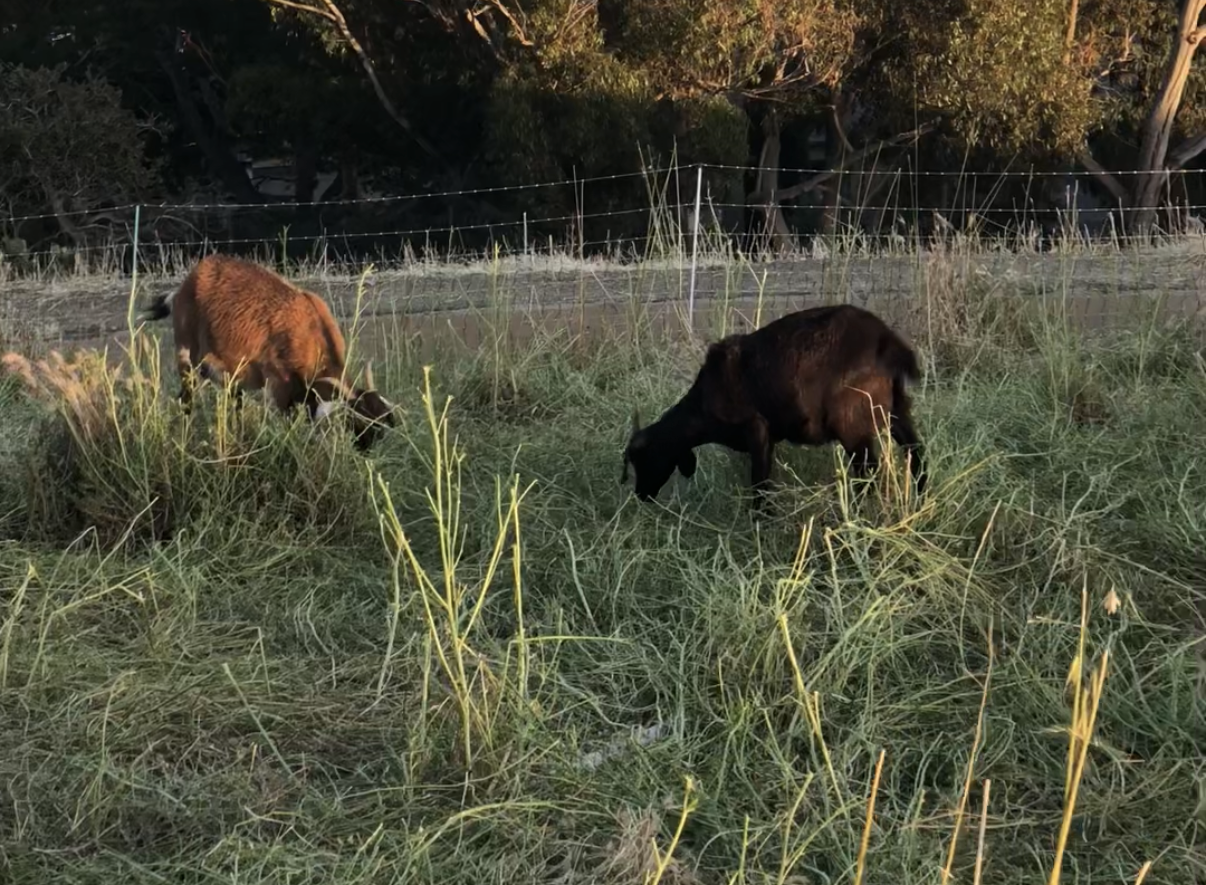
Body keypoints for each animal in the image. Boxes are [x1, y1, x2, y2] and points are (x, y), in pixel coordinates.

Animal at [139, 253, 396, 450]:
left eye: (381, 428)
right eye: (360, 424)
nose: (367, 451)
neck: (310, 327)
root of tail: (183, 288)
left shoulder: (304, 390)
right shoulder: (280, 384)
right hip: (187, 355)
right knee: (186, 399)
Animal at [621, 304, 926, 505]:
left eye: (642, 459)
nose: (641, 495)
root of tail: (885, 340)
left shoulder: (756, 429)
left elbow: (759, 483)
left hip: (852, 422)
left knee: (869, 473)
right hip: (896, 409)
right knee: (917, 454)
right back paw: (921, 500)